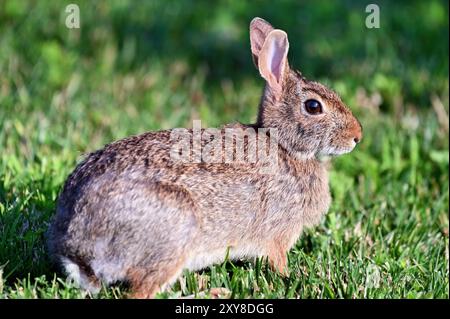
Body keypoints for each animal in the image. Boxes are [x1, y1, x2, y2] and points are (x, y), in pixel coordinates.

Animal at [46, 16, 362, 298]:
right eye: (313, 106)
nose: (357, 136)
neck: (282, 144)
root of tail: (78, 250)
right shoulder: (278, 236)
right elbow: (278, 262)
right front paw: (291, 277)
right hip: (175, 234)